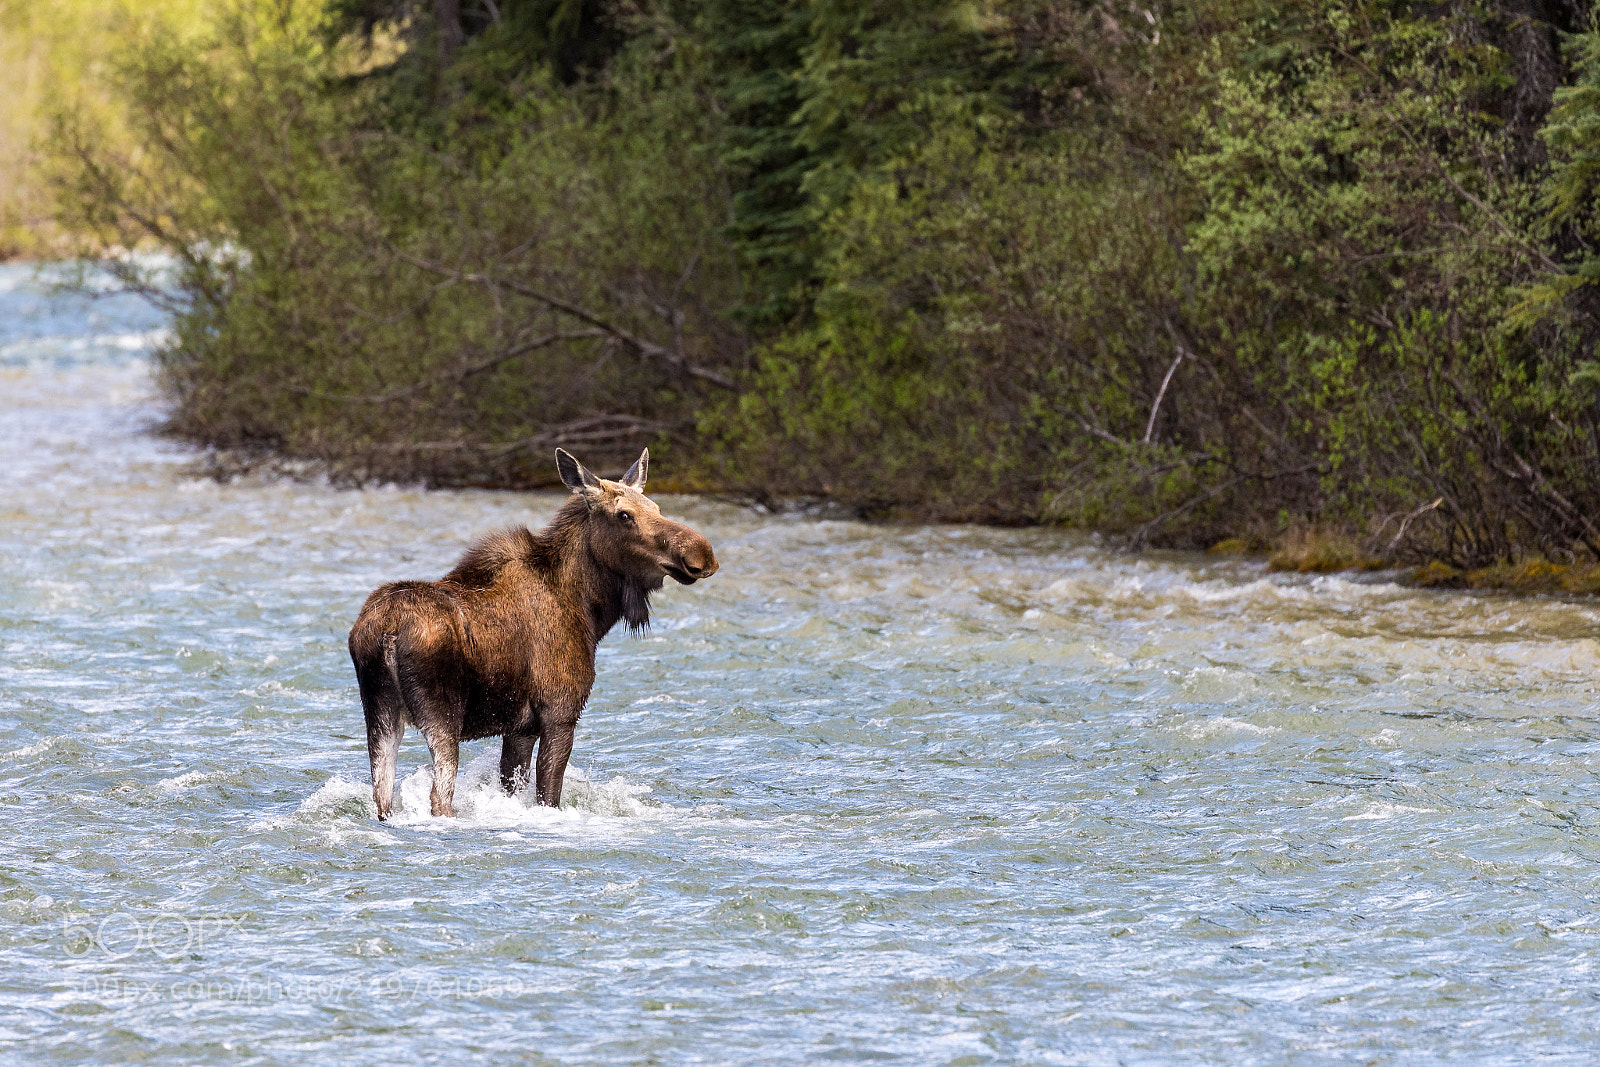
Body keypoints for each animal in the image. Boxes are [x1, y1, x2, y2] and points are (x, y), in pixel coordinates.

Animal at [356, 447, 726, 819]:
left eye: (657, 508)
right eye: (624, 515)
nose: (701, 553)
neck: (591, 613)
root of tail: (387, 632)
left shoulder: (519, 728)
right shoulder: (559, 713)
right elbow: (549, 795)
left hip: (379, 714)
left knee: (382, 795)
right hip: (442, 717)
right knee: (439, 799)